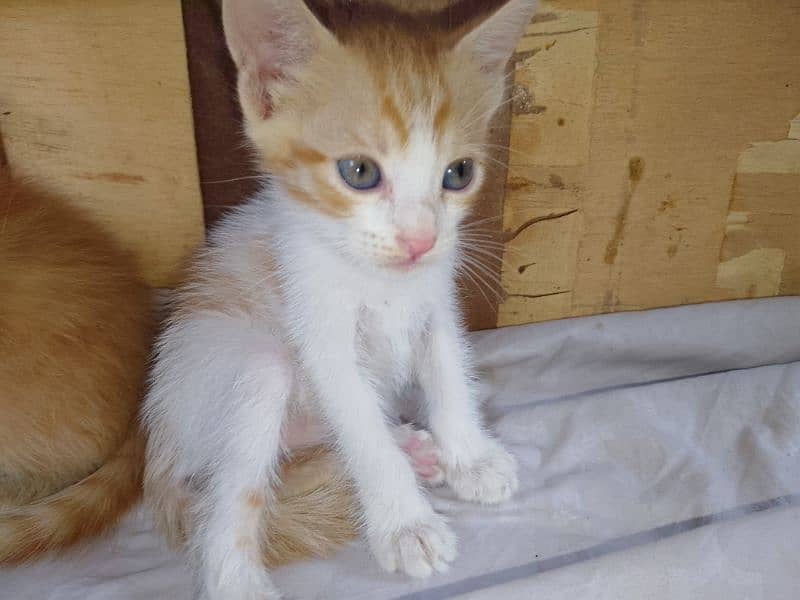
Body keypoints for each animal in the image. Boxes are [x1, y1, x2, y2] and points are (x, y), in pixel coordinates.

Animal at [144, 0, 536, 596]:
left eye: (459, 174)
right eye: (360, 172)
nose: (421, 240)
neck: (382, 279)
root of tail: (156, 441)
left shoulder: (436, 303)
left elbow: (448, 371)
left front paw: (469, 455)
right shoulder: (320, 332)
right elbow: (360, 428)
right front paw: (404, 524)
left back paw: (413, 448)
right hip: (248, 368)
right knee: (229, 498)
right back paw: (235, 578)